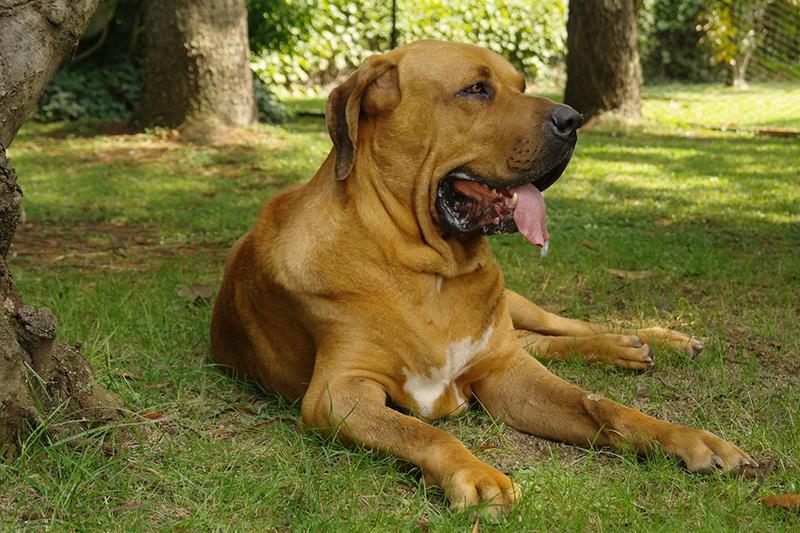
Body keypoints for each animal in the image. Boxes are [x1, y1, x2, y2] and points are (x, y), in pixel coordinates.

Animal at [209, 39, 752, 512]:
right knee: (541, 341)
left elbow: (601, 407)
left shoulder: (506, 372)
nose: (572, 119)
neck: (426, 270)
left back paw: (651, 340)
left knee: (562, 328)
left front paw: (688, 438)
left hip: (515, 305)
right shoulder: (339, 392)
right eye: (476, 89)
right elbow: (423, 429)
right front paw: (477, 473)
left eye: (522, 84)